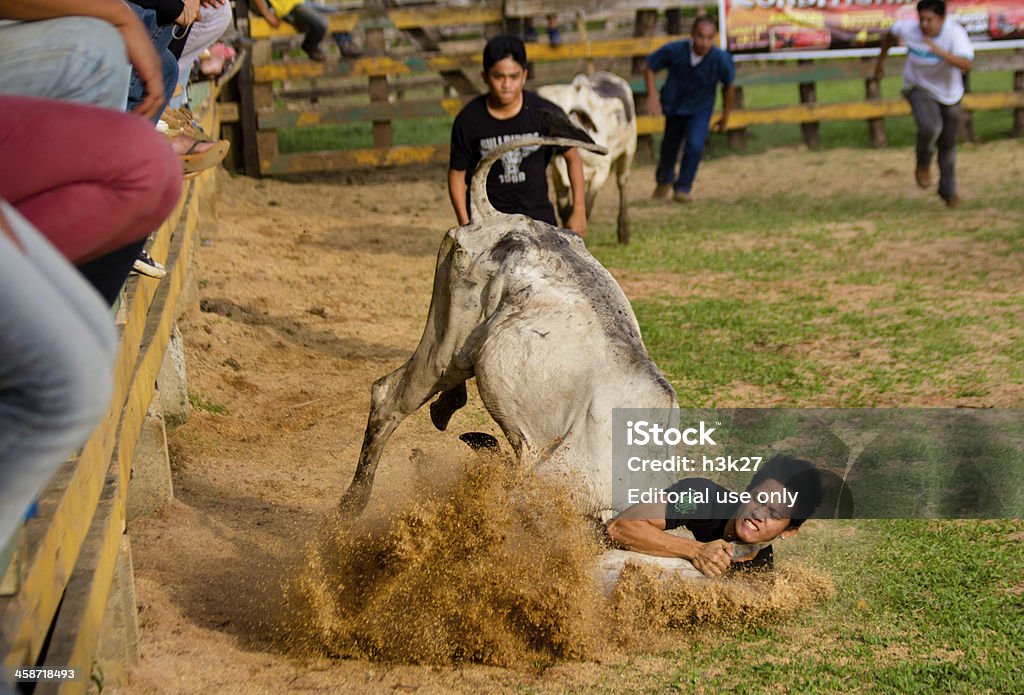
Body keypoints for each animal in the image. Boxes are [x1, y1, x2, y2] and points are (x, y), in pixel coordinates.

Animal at [344, 130, 675, 522]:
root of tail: (491, 218)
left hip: (458, 349)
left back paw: (443, 409)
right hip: (444, 344)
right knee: (388, 396)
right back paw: (351, 503)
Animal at [536, 72, 638, 244]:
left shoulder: (602, 170)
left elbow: (587, 206)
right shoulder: (557, 173)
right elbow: (564, 210)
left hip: (628, 151)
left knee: (622, 183)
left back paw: (624, 230)